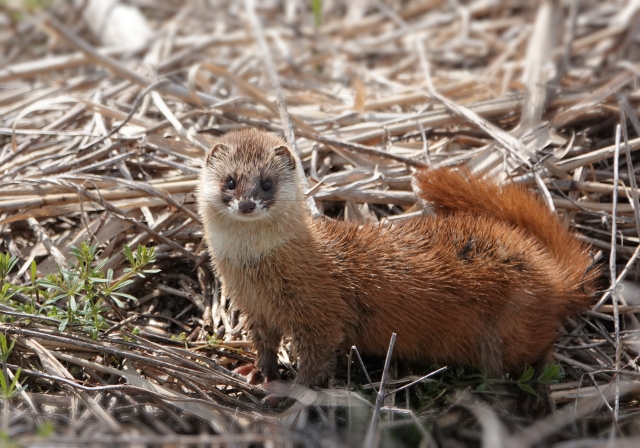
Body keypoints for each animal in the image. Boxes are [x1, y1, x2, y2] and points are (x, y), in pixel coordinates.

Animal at [196, 129, 600, 388]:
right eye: (230, 181)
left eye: (267, 183)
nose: (247, 204)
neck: (254, 272)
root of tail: (549, 273)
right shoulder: (253, 308)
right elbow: (264, 343)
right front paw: (256, 372)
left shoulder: (320, 311)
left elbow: (317, 357)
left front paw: (287, 391)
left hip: (514, 327)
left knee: (544, 350)